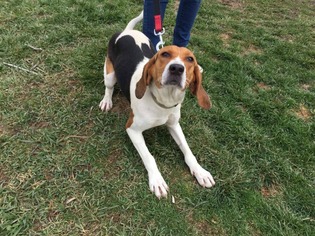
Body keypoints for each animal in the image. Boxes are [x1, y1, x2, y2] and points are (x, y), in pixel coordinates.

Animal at [100, 11, 216, 199]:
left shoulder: (174, 125)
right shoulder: (132, 129)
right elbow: (149, 157)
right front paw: (157, 180)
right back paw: (107, 100)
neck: (163, 102)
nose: (177, 68)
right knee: (109, 87)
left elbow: (188, 151)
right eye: (165, 54)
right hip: (109, 74)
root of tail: (127, 31)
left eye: (190, 59)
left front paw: (200, 171)